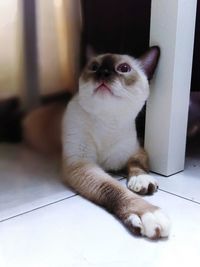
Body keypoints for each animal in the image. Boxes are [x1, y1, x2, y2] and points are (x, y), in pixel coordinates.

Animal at [23, 46, 170, 241]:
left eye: (124, 68)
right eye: (94, 67)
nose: (103, 73)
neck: (108, 122)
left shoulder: (136, 150)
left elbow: (137, 165)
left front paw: (142, 181)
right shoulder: (82, 164)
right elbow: (113, 188)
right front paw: (148, 214)